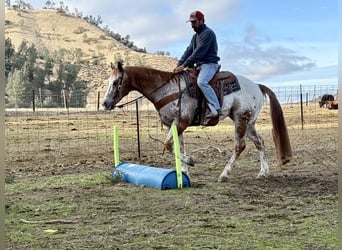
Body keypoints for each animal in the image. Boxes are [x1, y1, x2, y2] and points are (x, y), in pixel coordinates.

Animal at [102, 61, 292, 181]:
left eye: (116, 82)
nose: (105, 103)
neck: (167, 88)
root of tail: (257, 86)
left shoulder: (181, 122)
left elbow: (168, 145)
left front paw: (189, 162)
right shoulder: (173, 125)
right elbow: (178, 146)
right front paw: (184, 173)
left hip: (240, 119)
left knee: (240, 146)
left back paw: (224, 175)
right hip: (249, 122)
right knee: (260, 142)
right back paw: (263, 172)